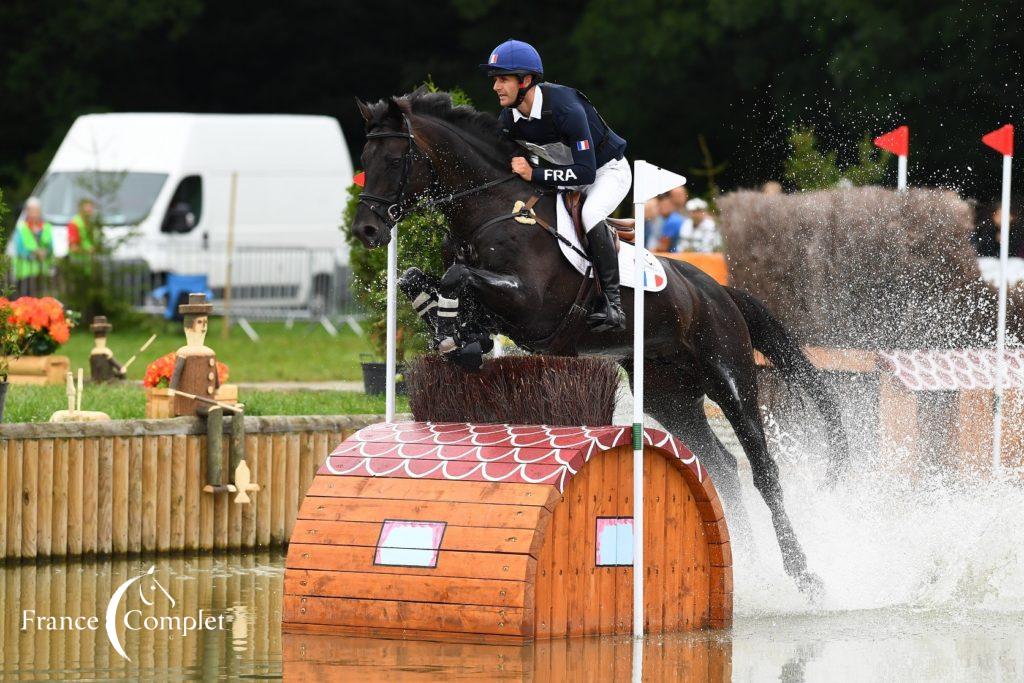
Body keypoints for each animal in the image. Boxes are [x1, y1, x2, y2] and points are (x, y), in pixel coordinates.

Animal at [352, 89, 847, 598]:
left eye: (395, 159)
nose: (366, 230)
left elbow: (457, 277)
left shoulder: (532, 305)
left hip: (730, 376)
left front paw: (458, 335)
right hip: (670, 399)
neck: (493, 210)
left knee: (763, 470)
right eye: (364, 160)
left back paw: (802, 573)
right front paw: (457, 336)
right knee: (724, 468)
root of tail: (718, 290)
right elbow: (420, 278)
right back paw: (746, 566)